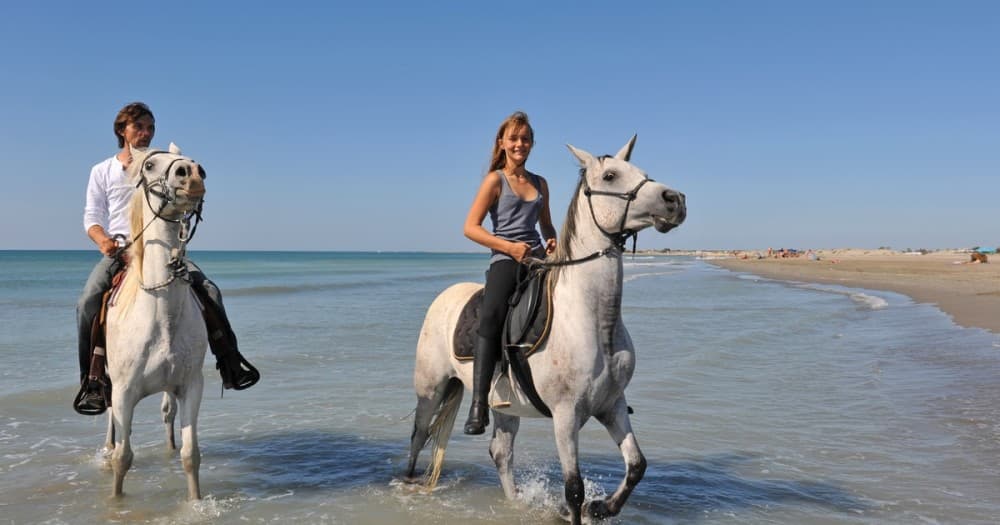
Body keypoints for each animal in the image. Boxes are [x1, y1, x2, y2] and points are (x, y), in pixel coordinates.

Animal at [103, 143, 208, 499]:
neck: (161, 317)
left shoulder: (190, 386)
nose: (192, 174)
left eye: (191, 161)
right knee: (111, 423)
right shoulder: (123, 392)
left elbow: (191, 455)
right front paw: (115, 501)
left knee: (167, 414)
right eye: (149, 165)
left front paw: (195, 502)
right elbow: (123, 458)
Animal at [405, 136, 686, 524]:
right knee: (419, 436)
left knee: (501, 452)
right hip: (431, 389)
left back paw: (516, 504)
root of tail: (444, 297)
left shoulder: (612, 405)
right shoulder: (565, 416)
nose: (675, 200)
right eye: (611, 175)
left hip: (504, 407)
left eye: (642, 172)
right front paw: (581, 507)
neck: (593, 321)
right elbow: (574, 487)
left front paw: (600, 507)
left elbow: (636, 465)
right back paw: (406, 485)